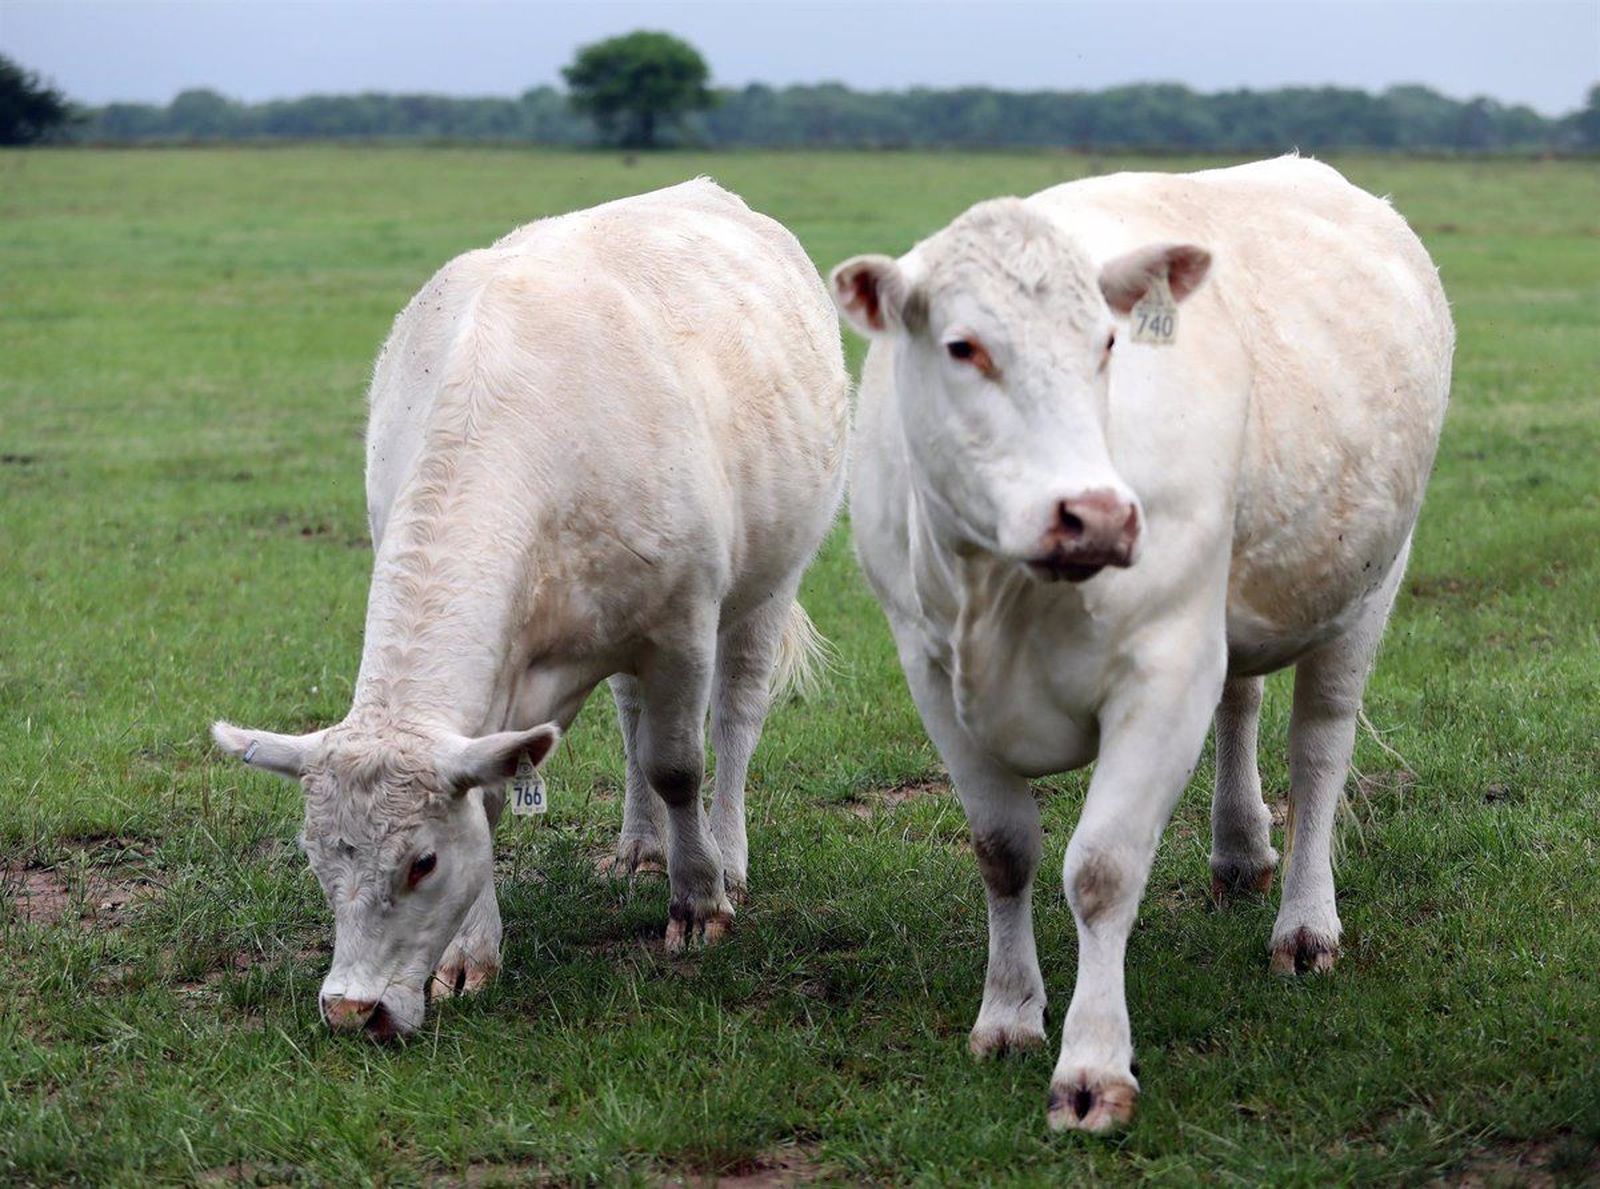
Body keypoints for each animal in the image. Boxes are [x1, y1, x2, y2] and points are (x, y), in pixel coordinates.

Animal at [212, 179, 849, 1041]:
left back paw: (729, 853)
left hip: (770, 582)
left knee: (735, 720)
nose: (352, 1009)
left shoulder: (681, 625)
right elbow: (499, 794)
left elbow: (679, 764)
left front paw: (699, 900)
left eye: (422, 861)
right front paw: (469, 955)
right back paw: (638, 847)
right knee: (632, 717)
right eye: (315, 859)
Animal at [832, 156, 1452, 1131]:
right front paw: (1008, 1013)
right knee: (1243, 700)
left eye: (1108, 344)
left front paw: (1091, 1065)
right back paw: (1239, 850)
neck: (1004, 592)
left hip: (1369, 584)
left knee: (1319, 748)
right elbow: (1003, 848)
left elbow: (1102, 869)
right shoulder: (929, 670)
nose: (1097, 514)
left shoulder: (1163, 665)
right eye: (963, 346)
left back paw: (1306, 925)